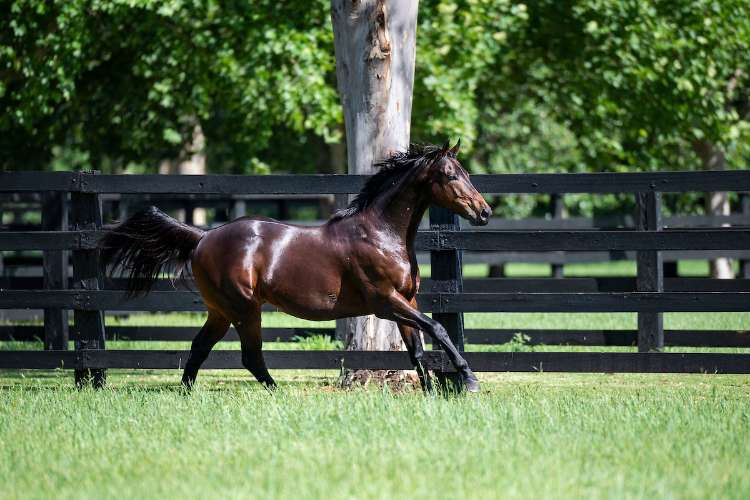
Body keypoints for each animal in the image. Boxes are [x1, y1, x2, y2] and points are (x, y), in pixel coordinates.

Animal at [100, 141, 492, 392]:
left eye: (465, 172)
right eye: (451, 175)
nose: (484, 212)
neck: (380, 234)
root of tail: (202, 237)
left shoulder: (407, 301)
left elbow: (418, 348)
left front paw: (430, 392)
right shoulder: (385, 302)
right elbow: (438, 329)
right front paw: (468, 380)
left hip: (221, 311)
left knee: (199, 347)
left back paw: (187, 392)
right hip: (245, 309)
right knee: (250, 356)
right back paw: (276, 392)